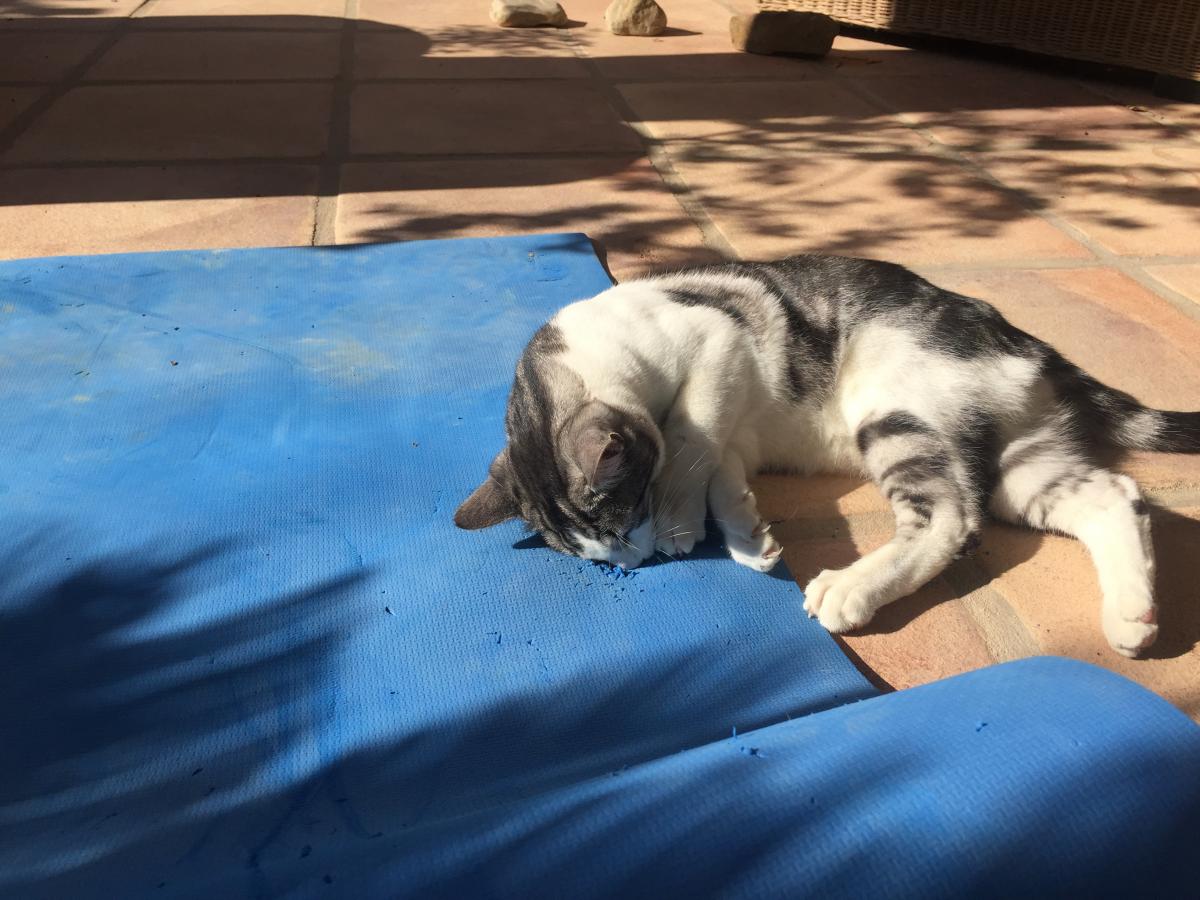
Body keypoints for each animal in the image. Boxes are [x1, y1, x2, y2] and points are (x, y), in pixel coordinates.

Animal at [451, 254, 1200, 657]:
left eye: (624, 516)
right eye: (593, 554)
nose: (631, 563)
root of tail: (1027, 342)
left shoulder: (716, 342)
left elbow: (689, 438)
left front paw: (677, 521)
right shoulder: (734, 433)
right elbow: (717, 471)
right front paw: (747, 537)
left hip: (896, 415)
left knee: (951, 518)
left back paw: (850, 588)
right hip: (1024, 465)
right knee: (1114, 496)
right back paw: (1134, 617)